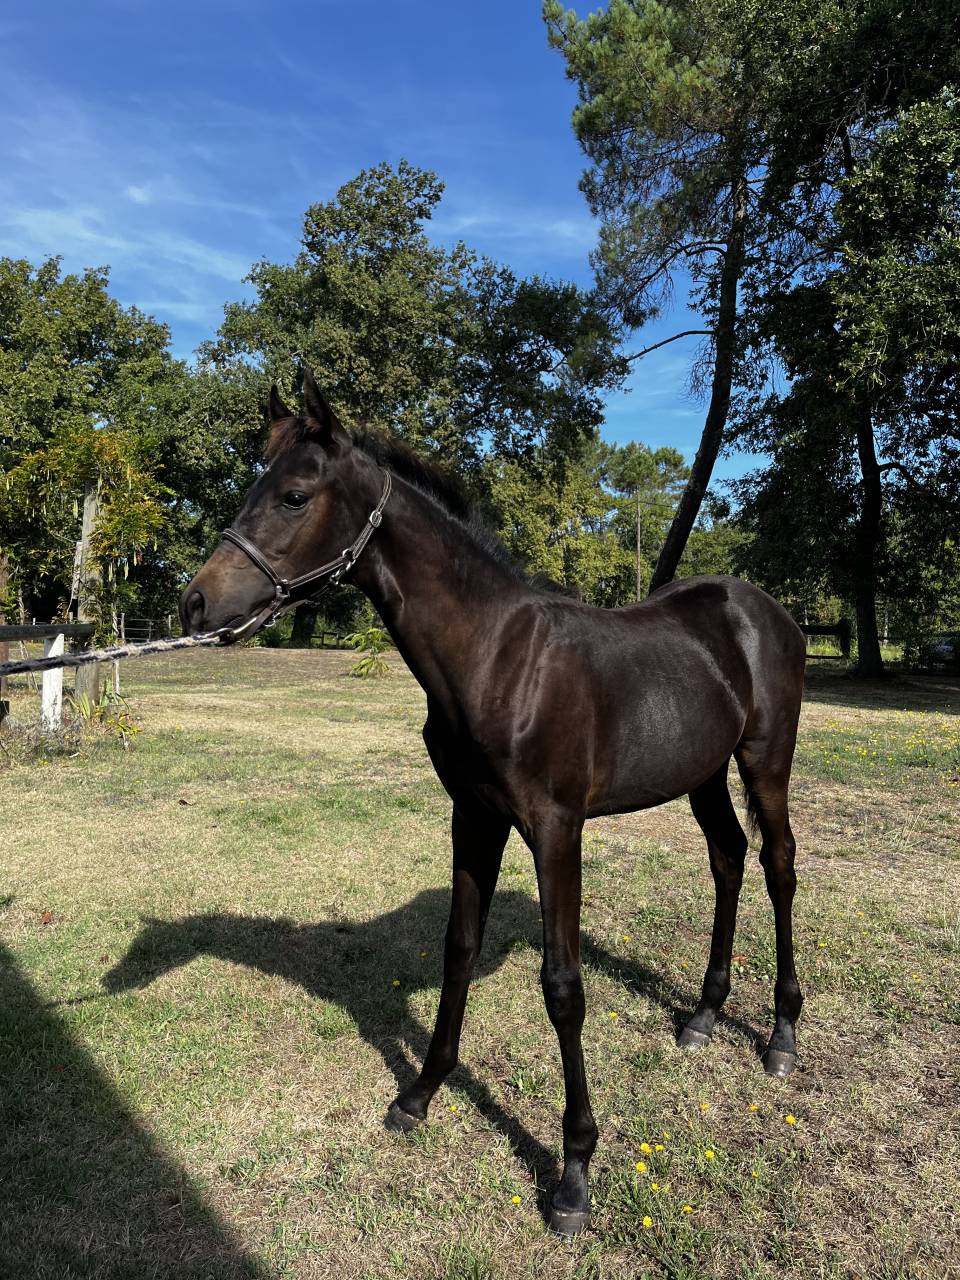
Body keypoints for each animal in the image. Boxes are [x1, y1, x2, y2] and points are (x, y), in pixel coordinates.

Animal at [180, 368, 806, 1236]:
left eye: (295, 495)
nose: (195, 605)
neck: (497, 658)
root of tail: (764, 609)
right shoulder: (472, 817)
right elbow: (458, 947)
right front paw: (420, 1093)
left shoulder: (555, 829)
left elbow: (563, 987)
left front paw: (574, 1172)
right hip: (704, 773)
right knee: (728, 858)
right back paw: (703, 1017)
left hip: (764, 763)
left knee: (778, 866)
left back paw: (780, 1035)